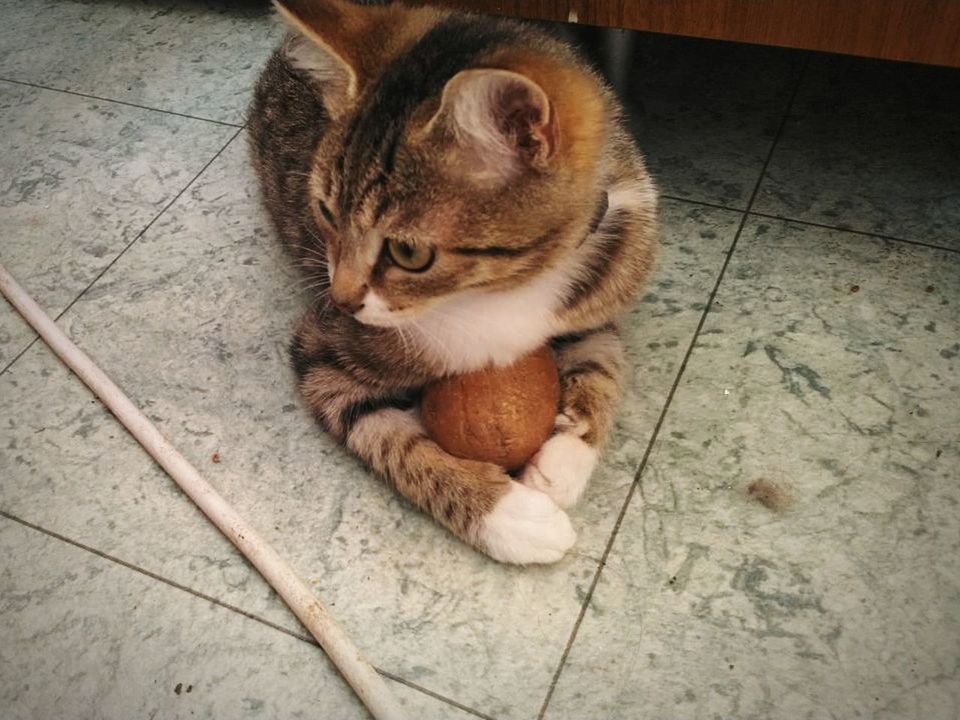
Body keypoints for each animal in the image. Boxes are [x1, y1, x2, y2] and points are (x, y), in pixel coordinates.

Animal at [246, 0, 660, 564]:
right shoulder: (322, 351)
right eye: (326, 212)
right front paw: (509, 516)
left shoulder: (598, 287)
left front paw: (565, 460)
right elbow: (387, 437)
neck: (502, 290)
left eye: (409, 252)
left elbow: (603, 361)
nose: (342, 298)